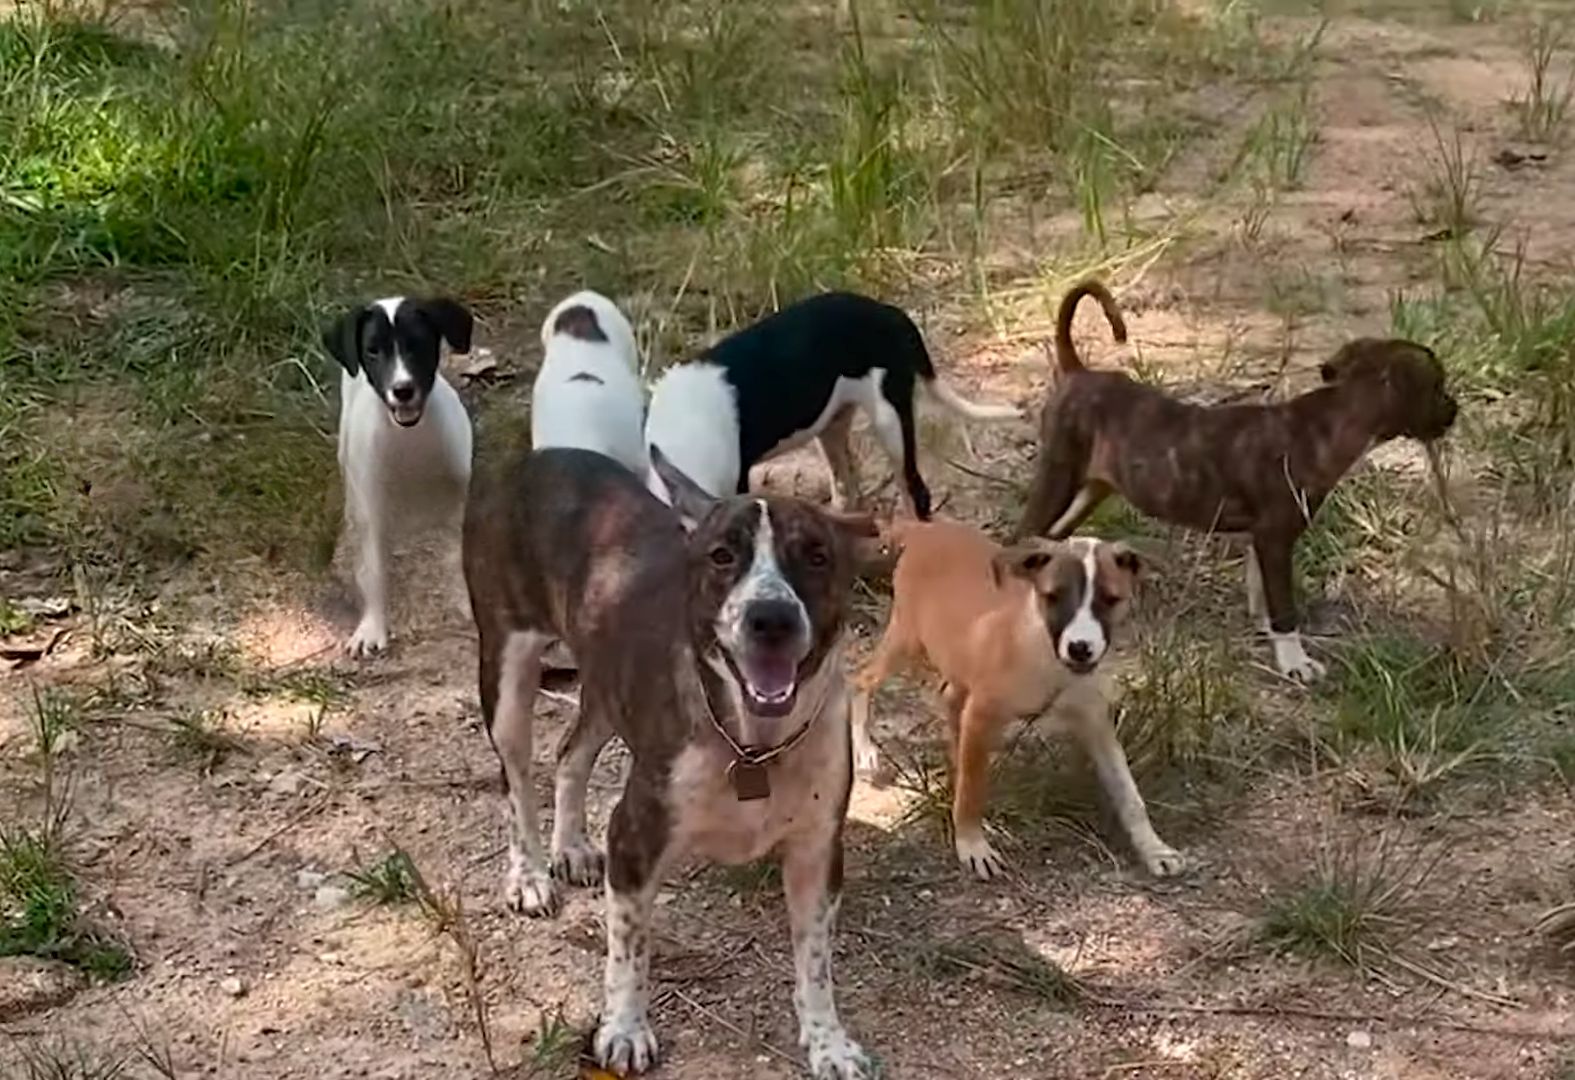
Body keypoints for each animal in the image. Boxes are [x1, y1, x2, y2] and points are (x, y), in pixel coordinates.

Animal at [324, 291, 472, 654]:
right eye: (373, 350)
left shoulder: (462, 505)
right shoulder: (373, 514)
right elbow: (374, 572)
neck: (410, 439)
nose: (402, 390)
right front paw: (372, 627)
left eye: (418, 343)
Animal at [459, 440, 882, 1080]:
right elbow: (629, 949)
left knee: (569, 753)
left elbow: (815, 963)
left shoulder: (816, 853)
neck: (753, 743)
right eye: (722, 555)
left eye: (816, 556)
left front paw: (828, 1041)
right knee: (516, 781)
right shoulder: (635, 840)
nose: (771, 618)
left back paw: (571, 846)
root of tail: (536, 457)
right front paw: (624, 1030)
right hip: (507, 669)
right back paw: (529, 874)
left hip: (605, 683)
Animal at [850, 519, 1184, 881]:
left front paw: (1155, 848)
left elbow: (1130, 795)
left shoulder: (1096, 723)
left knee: (949, 700)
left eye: (1110, 600)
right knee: (860, 679)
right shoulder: (981, 714)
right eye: (1052, 597)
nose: (1080, 648)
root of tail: (925, 526)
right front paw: (972, 845)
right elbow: (971, 791)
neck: (1048, 657)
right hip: (908, 641)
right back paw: (867, 752)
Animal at [1014, 283, 1455, 680]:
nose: (1455, 409)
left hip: (1088, 491)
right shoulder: (1275, 539)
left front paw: (1269, 636)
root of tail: (1079, 372)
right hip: (1058, 476)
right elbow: (1284, 607)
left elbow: (1263, 595)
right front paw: (1295, 663)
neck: (1332, 418)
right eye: (1438, 387)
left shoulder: (1260, 542)